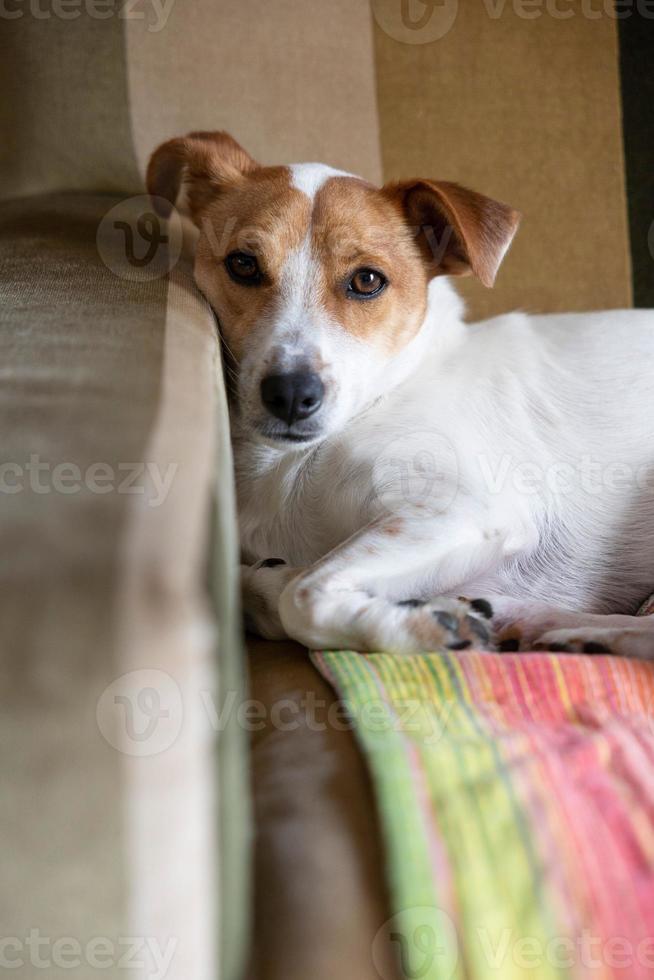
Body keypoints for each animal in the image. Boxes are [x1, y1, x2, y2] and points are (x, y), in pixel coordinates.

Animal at [147, 130, 654, 660]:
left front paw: (423, 623)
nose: (289, 394)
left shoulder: (464, 511)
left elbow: (303, 595)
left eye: (367, 280)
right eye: (243, 265)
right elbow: (264, 584)